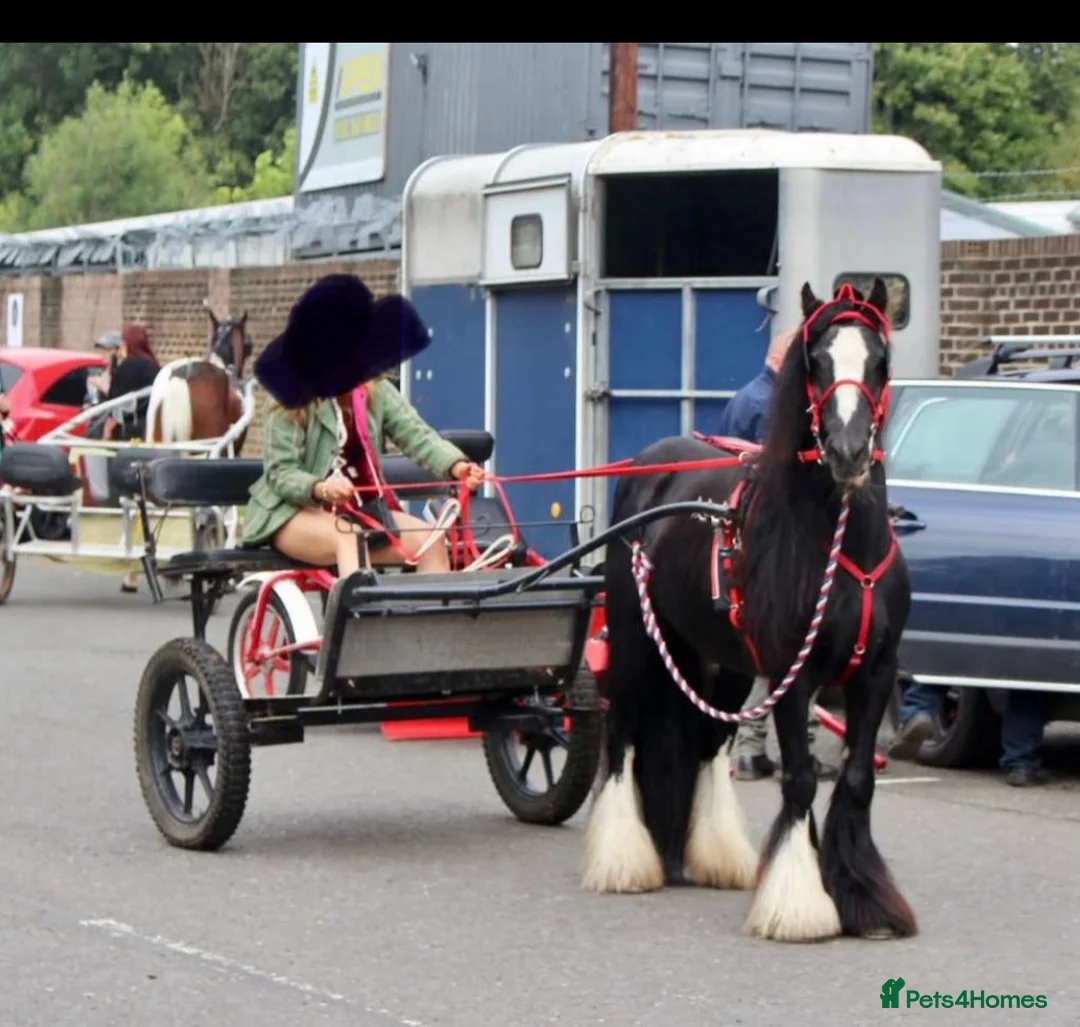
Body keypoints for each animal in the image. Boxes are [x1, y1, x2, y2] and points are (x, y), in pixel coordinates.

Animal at [581, 277, 917, 945]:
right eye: (815, 362)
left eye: (878, 361)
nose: (846, 452)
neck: (841, 545)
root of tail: (647, 468)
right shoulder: (794, 675)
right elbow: (801, 778)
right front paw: (799, 903)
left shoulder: (874, 674)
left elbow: (857, 779)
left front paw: (863, 900)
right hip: (634, 641)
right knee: (624, 736)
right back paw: (625, 861)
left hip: (723, 661)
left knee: (710, 744)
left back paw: (717, 857)